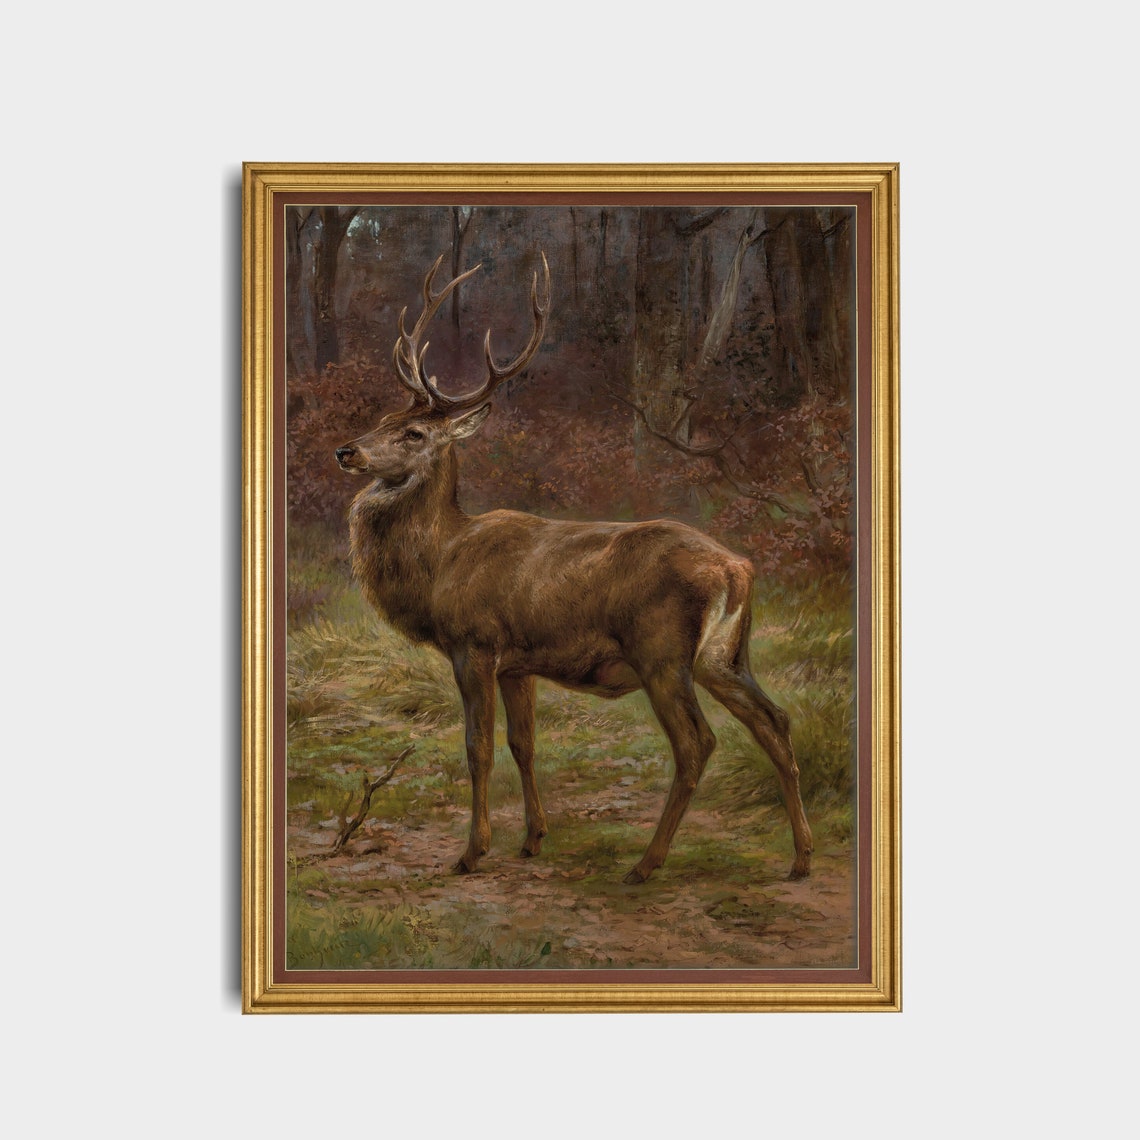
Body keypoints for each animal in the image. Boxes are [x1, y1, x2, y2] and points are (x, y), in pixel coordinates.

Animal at [335, 252, 813, 884]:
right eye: (383, 417)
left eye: (412, 432)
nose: (347, 450)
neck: (441, 563)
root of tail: (738, 569)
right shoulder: (517, 663)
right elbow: (524, 744)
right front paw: (533, 839)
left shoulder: (474, 643)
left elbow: (478, 748)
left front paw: (471, 852)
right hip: (725, 655)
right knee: (775, 722)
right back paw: (801, 858)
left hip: (662, 651)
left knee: (697, 744)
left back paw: (646, 864)